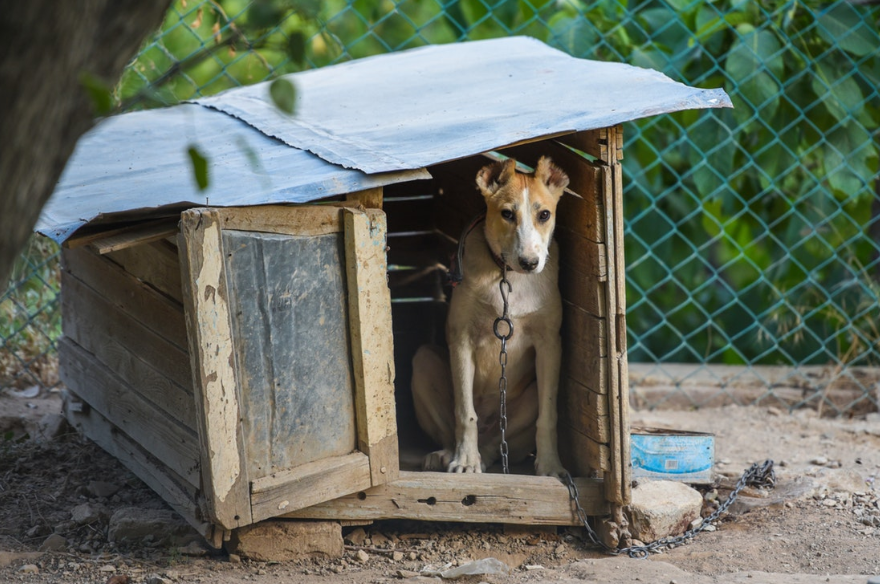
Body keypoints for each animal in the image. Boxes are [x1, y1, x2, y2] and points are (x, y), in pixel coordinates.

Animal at [412, 157, 572, 476]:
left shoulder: (550, 344)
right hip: (423, 361)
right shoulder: (461, 339)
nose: (529, 262)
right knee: (457, 430)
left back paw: (484, 455)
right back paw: (448, 455)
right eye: (507, 214)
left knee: (497, 445)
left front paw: (550, 465)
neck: (508, 277)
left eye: (544, 214)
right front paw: (465, 461)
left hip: (528, 397)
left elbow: (548, 417)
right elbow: (465, 413)